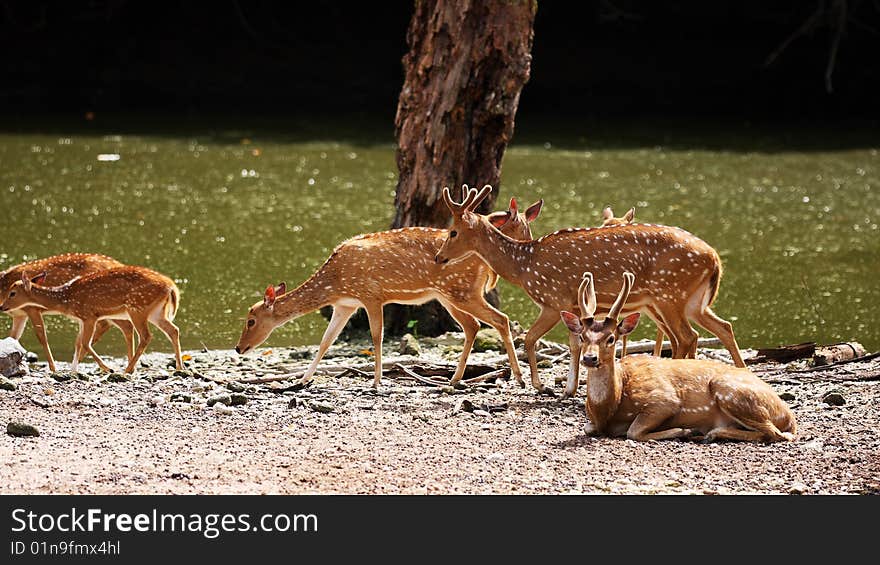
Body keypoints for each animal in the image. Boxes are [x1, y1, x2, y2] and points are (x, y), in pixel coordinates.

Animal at [0, 253, 136, 372]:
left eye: (13, 293)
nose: (2, 307)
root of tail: (119, 263)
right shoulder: (19, 314)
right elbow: (13, 337)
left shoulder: (32, 308)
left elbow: (42, 337)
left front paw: (53, 369)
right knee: (122, 326)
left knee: (122, 326)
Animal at [0, 266, 183, 374]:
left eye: (12, 293)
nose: (2, 307)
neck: (66, 299)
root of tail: (171, 287)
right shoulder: (81, 319)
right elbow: (78, 343)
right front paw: (73, 371)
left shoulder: (89, 315)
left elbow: (85, 343)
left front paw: (107, 368)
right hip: (156, 313)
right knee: (173, 330)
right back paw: (180, 368)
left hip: (137, 308)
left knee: (146, 336)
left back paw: (127, 369)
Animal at [237, 192, 548, 390]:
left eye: (250, 320)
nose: (240, 347)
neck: (334, 282)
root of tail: (485, 262)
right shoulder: (345, 304)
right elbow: (326, 341)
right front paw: (301, 380)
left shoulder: (371, 295)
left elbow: (377, 337)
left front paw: (376, 381)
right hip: (449, 295)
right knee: (473, 326)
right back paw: (454, 379)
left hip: (462, 291)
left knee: (500, 320)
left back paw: (519, 378)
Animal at [434, 185, 744, 396]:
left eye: (453, 232)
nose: (438, 257)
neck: (524, 266)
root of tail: (715, 259)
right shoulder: (573, 305)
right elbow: (574, 343)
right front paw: (568, 388)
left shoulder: (553, 299)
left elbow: (531, 339)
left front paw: (538, 385)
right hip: (692, 302)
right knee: (720, 328)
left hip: (670, 294)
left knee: (687, 337)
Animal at [564, 270, 796, 442]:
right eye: (582, 336)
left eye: (611, 338)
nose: (590, 358)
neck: (611, 405)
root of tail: (788, 416)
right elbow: (588, 428)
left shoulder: (664, 399)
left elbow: (634, 431)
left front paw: (684, 430)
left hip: (729, 390)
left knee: (776, 433)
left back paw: (708, 433)